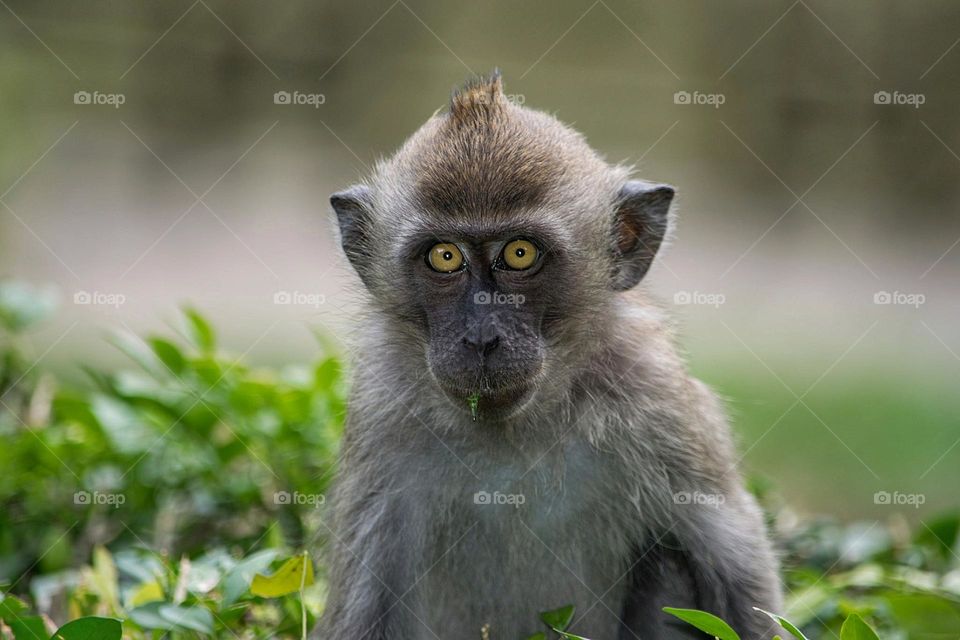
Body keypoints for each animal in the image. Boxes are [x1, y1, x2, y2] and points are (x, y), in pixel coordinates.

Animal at [319, 72, 784, 640]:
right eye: (444, 256)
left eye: (520, 253)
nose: (481, 338)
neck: (518, 423)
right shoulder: (382, 412)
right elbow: (364, 607)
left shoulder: (658, 401)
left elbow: (736, 563)